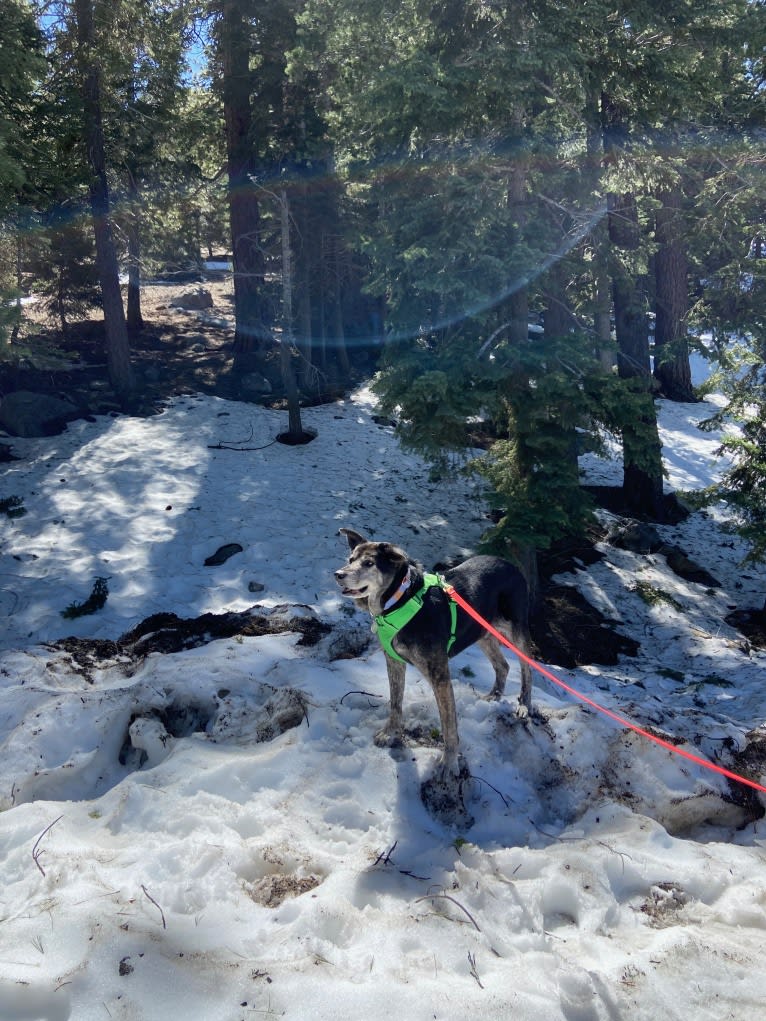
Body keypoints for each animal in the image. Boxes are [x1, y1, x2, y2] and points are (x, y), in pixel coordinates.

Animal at [334, 530, 535, 775]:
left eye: (369, 563)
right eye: (350, 559)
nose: (338, 575)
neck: (399, 601)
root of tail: (511, 565)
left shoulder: (440, 676)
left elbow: (449, 726)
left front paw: (448, 763)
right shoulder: (394, 661)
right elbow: (395, 702)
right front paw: (390, 733)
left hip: (517, 631)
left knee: (527, 667)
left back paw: (524, 704)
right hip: (482, 633)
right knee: (503, 665)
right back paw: (494, 695)